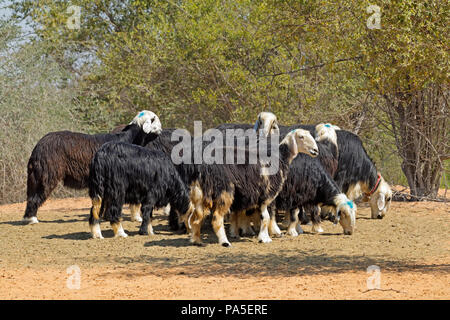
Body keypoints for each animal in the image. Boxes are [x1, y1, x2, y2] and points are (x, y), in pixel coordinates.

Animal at [22, 110, 163, 225]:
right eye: (154, 119)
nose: (161, 131)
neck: (129, 138)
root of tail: (38, 147)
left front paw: (104, 216)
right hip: (47, 173)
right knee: (37, 194)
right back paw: (32, 218)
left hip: (36, 174)